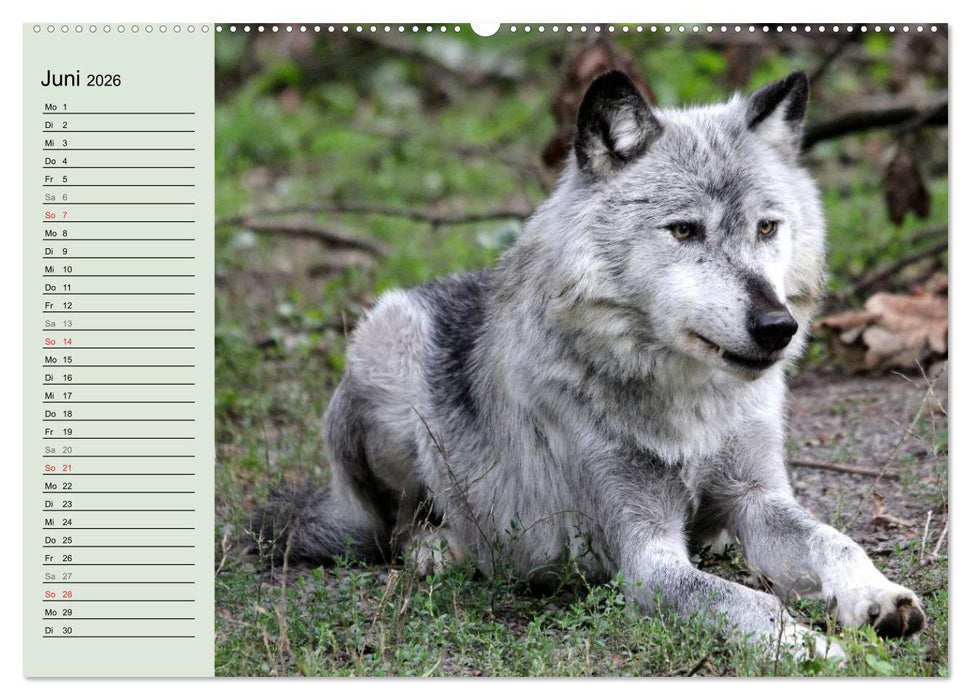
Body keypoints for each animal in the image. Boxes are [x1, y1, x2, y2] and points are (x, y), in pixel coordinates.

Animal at [252, 70, 925, 657]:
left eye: (766, 228)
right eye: (685, 231)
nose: (777, 326)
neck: (690, 405)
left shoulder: (757, 498)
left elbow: (836, 543)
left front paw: (879, 598)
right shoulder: (646, 557)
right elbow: (749, 602)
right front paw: (813, 647)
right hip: (388, 344)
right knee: (393, 529)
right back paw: (441, 550)